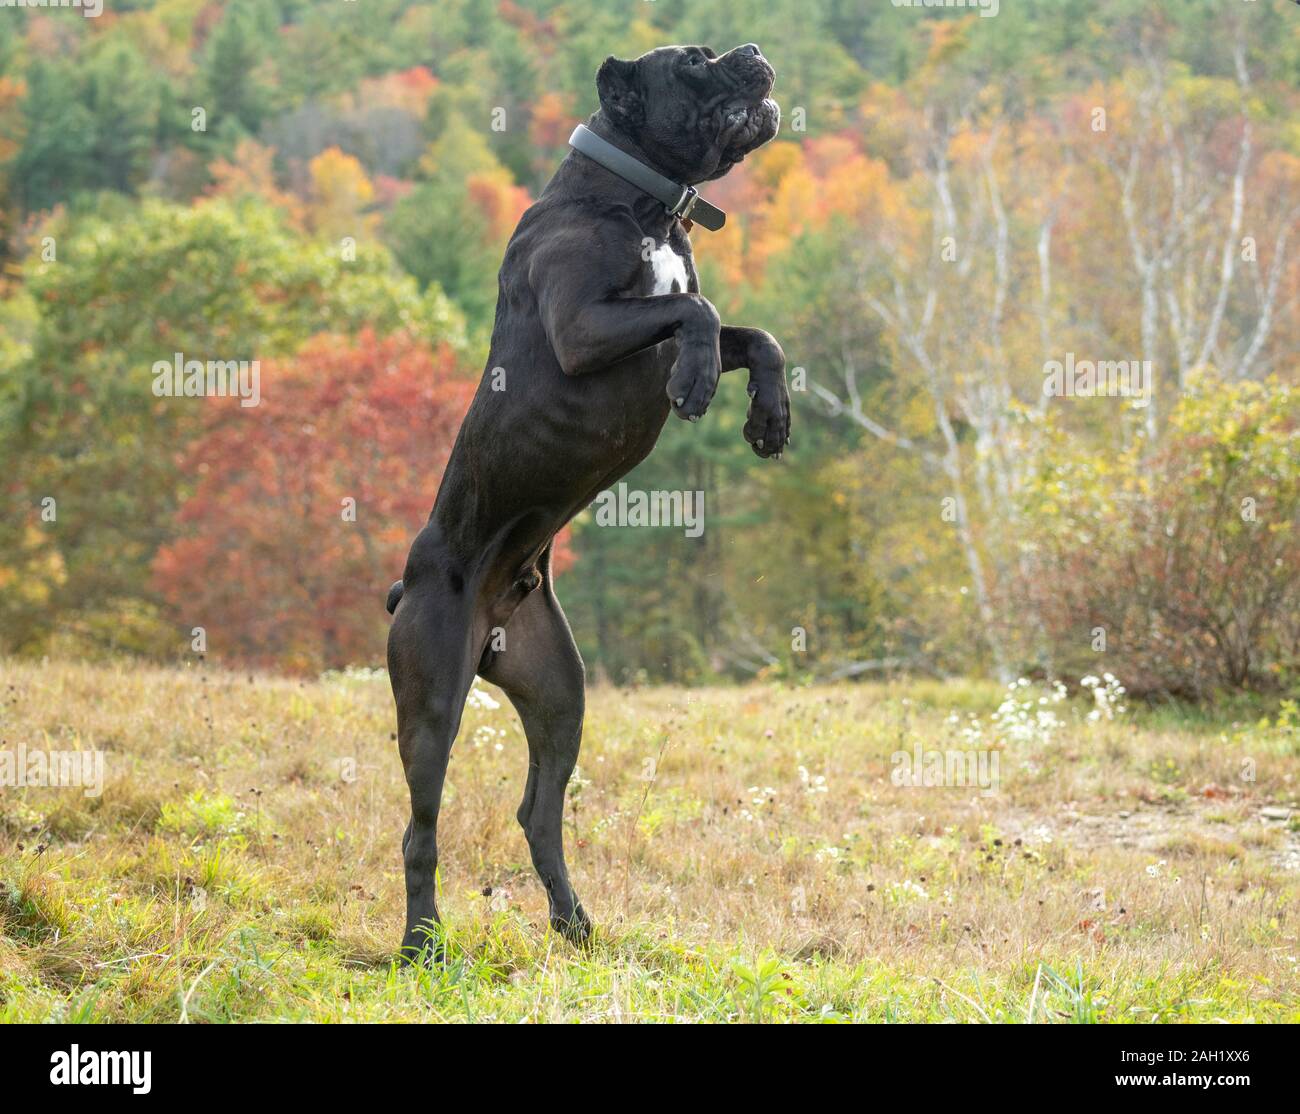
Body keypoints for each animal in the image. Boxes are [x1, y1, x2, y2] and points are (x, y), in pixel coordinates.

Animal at [384, 43, 785, 956]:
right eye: (696, 63)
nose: (752, 52)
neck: (640, 200)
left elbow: (754, 334)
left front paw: (768, 416)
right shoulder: (586, 326)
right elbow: (696, 310)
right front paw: (699, 381)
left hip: (559, 694)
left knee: (538, 812)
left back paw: (574, 924)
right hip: (431, 701)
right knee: (421, 827)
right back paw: (423, 942)